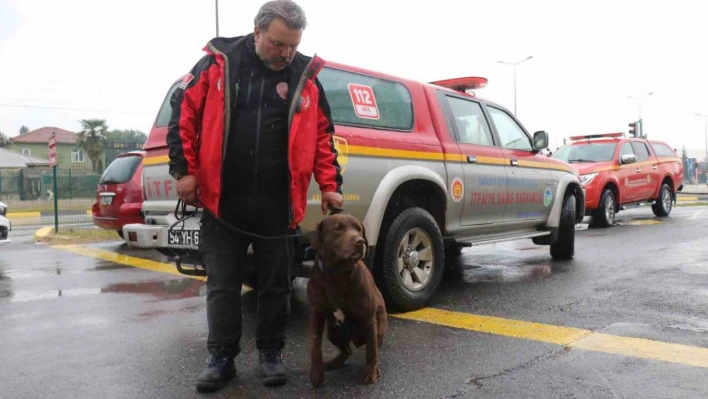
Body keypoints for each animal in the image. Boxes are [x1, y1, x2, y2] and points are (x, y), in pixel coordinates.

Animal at [308, 214, 390, 390]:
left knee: (374, 347)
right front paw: (316, 373)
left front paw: (370, 373)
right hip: (333, 332)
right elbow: (315, 347)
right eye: (338, 229)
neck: (337, 274)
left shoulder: (368, 318)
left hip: (378, 327)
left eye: (359, 229)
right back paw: (332, 363)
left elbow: (371, 351)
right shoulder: (317, 314)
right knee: (347, 350)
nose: (360, 241)